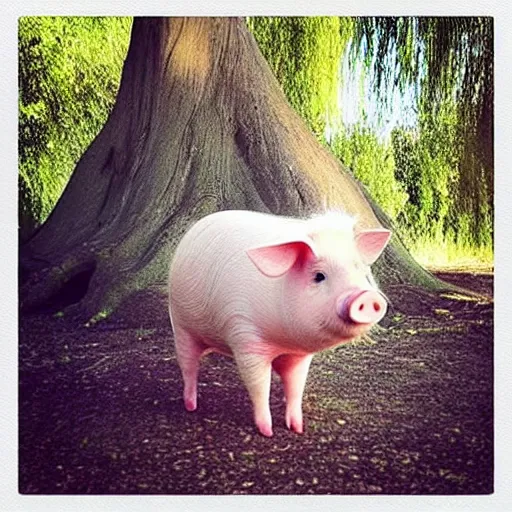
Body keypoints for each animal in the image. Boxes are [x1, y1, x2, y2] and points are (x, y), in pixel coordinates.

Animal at [169, 209, 392, 436]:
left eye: (360, 271)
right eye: (319, 276)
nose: (366, 296)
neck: (282, 342)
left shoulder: (299, 355)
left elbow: (295, 385)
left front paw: (298, 428)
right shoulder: (245, 336)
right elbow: (259, 385)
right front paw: (267, 432)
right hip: (180, 323)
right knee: (188, 365)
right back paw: (191, 406)